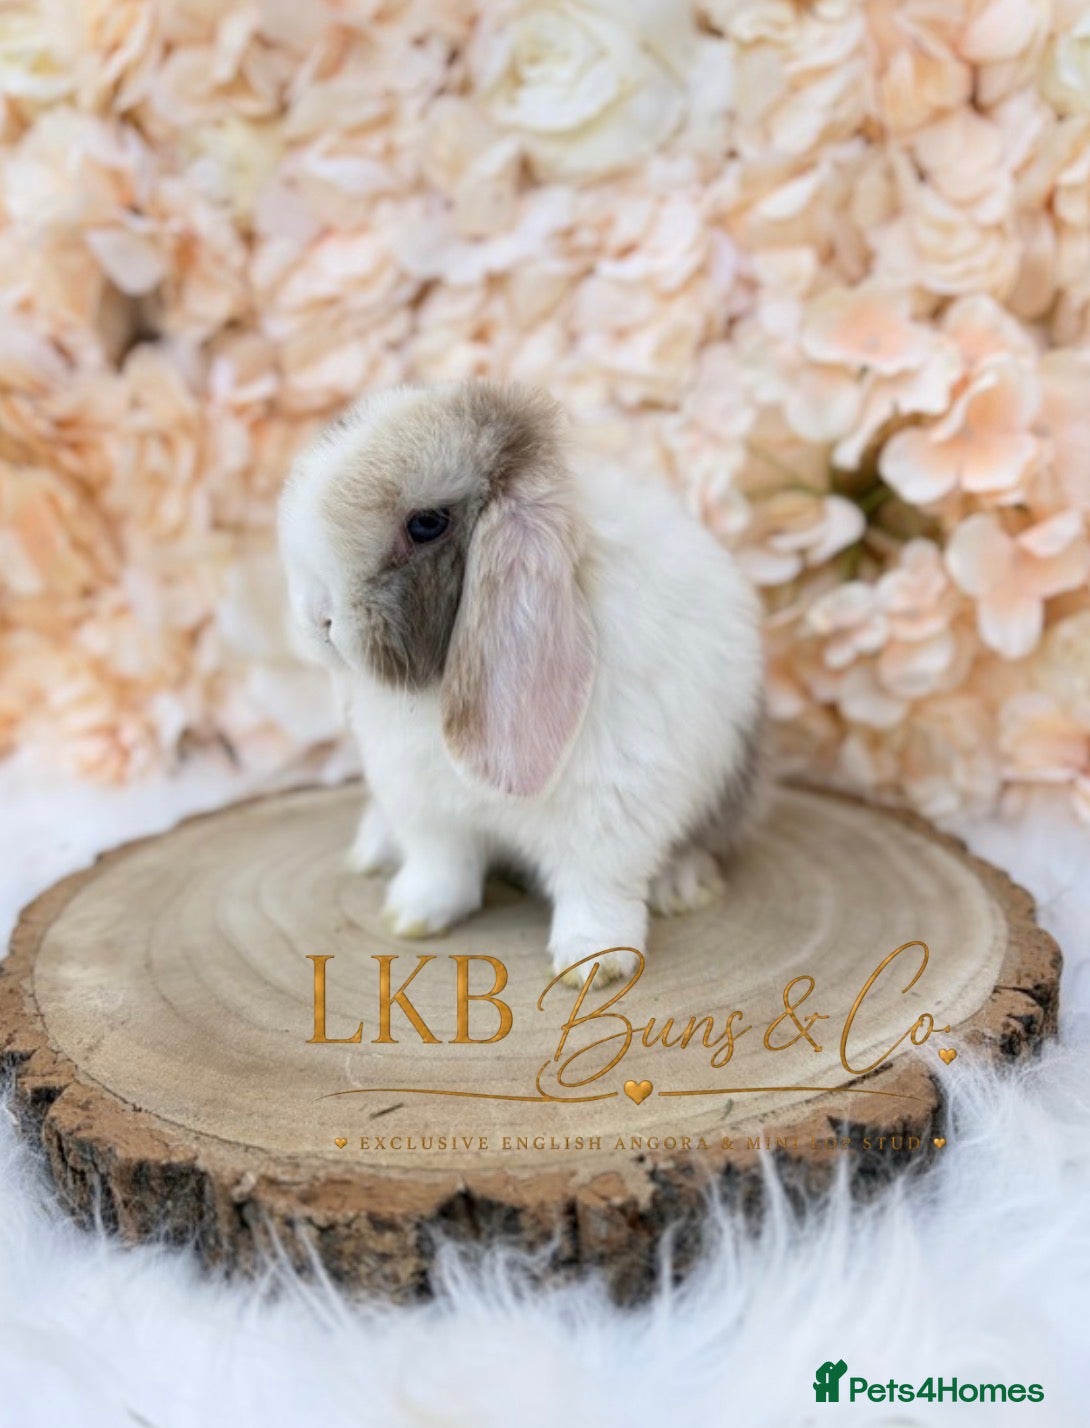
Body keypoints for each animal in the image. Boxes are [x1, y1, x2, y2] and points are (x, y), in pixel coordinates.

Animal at [278, 379, 767, 986]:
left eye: (426, 524)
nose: (314, 616)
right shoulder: (429, 813)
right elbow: (440, 871)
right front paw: (410, 917)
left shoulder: (610, 815)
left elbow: (595, 893)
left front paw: (593, 965)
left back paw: (681, 884)